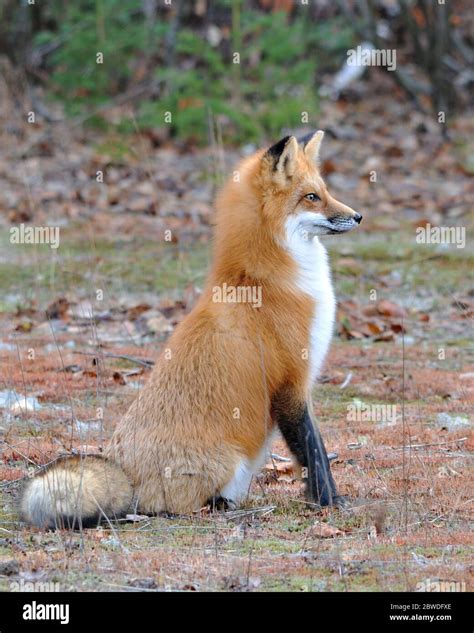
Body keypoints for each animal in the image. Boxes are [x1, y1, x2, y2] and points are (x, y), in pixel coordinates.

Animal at [20, 132, 362, 528]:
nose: (358, 215)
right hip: (225, 463)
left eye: (324, 191)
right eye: (312, 197)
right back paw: (217, 506)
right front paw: (329, 501)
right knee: (172, 507)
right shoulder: (291, 383)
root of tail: (126, 475)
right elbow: (313, 452)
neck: (259, 280)